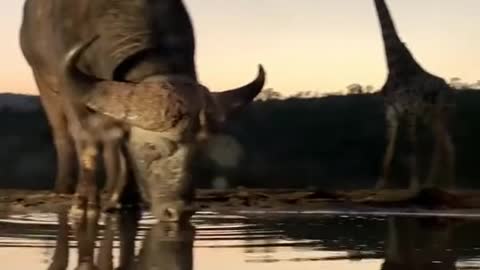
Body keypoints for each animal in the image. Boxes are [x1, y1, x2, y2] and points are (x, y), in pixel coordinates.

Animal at [19, 0, 266, 221]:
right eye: (151, 147)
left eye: (199, 151)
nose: (178, 211)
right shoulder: (70, 92)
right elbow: (87, 142)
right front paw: (85, 204)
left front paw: (126, 199)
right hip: (44, 82)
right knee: (62, 133)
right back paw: (64, 187)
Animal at [374, 0, 456, 191]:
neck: (395, 66)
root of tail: (450, 91)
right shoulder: (391, 114)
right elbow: (388, 149)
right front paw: (380, 184)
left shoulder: (409, 111)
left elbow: (412, 147)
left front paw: (414, 185)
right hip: (430, 117)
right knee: (445, 144)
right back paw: (436, 184)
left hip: (440, 114)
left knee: (443, 146)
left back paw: (443, 185)